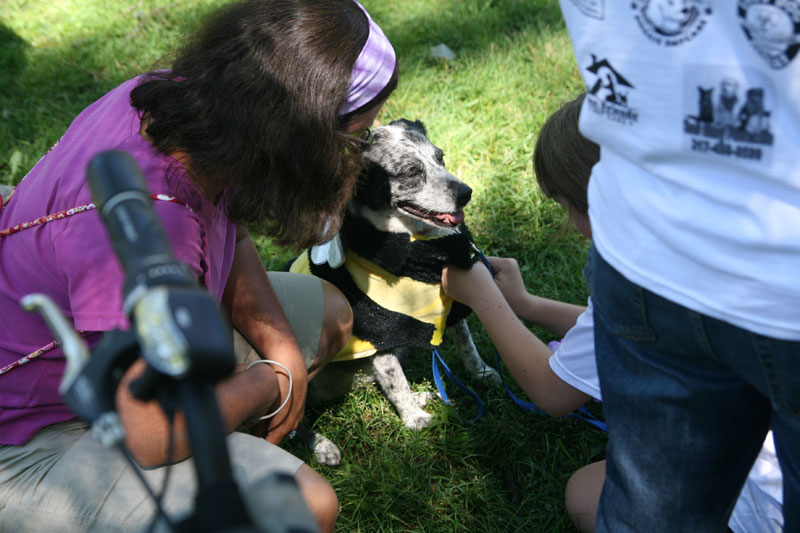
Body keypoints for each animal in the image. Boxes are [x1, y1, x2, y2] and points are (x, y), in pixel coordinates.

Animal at [288, 118, 500, 464]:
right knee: (293, 422)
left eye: (441, 158)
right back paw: (323, 446)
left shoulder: (452, 303)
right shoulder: (379, 333)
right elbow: (396, 383)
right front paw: (415, 421)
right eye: (411, 172)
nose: (466, 193)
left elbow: (466, 344)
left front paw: (481, 373)